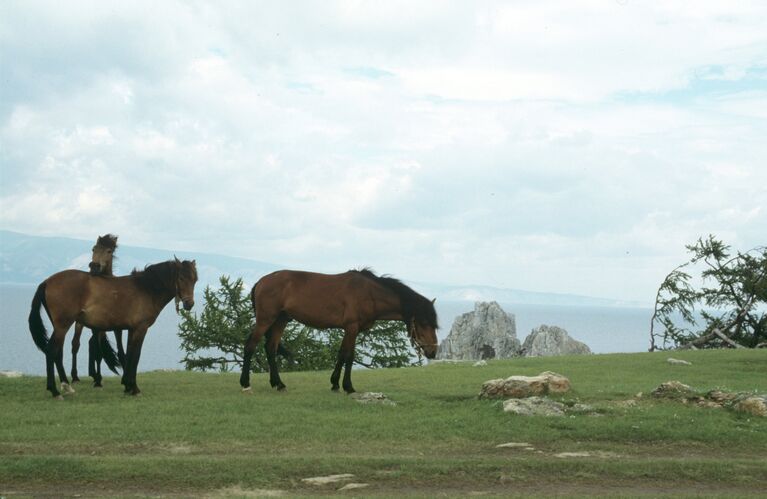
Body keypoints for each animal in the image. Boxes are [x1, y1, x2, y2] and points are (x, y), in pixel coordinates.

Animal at [29, 258, 198, 398]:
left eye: (195, 279)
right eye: (181, 278)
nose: (189, 304)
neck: (146, 288)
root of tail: (47, 282)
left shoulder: (130, 330)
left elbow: (128, 354)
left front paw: (127, 386)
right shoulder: (140, 328)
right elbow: (135, 356)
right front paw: (134, 388)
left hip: (60, 327)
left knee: (57, 353)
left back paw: (66, 386)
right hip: (63, 326)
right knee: (51, 351)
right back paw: (55, 391)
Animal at [72, 234, 127, 386]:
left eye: (109, 251)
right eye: (93, 249)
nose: (94, 267)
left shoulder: (117, 328)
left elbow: (120, 351)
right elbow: (98, 352)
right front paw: (98, 381)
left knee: (92, 344)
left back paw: (93, 374)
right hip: (81, 324)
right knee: (76, 345)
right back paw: (76, 376)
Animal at [240, 270, 438, 394]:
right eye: (424, 323)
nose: (433, 351)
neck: (369, 294)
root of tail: (261, 281)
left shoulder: (350, 330)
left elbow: (342, 354)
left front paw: (335, 384)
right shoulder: (352, 328)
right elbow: (349, 356)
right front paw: (348, 387)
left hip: (280, 321)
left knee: (270, 348)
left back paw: (279, 384)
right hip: (265, 320)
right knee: (250, 346)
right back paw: (245, 384)